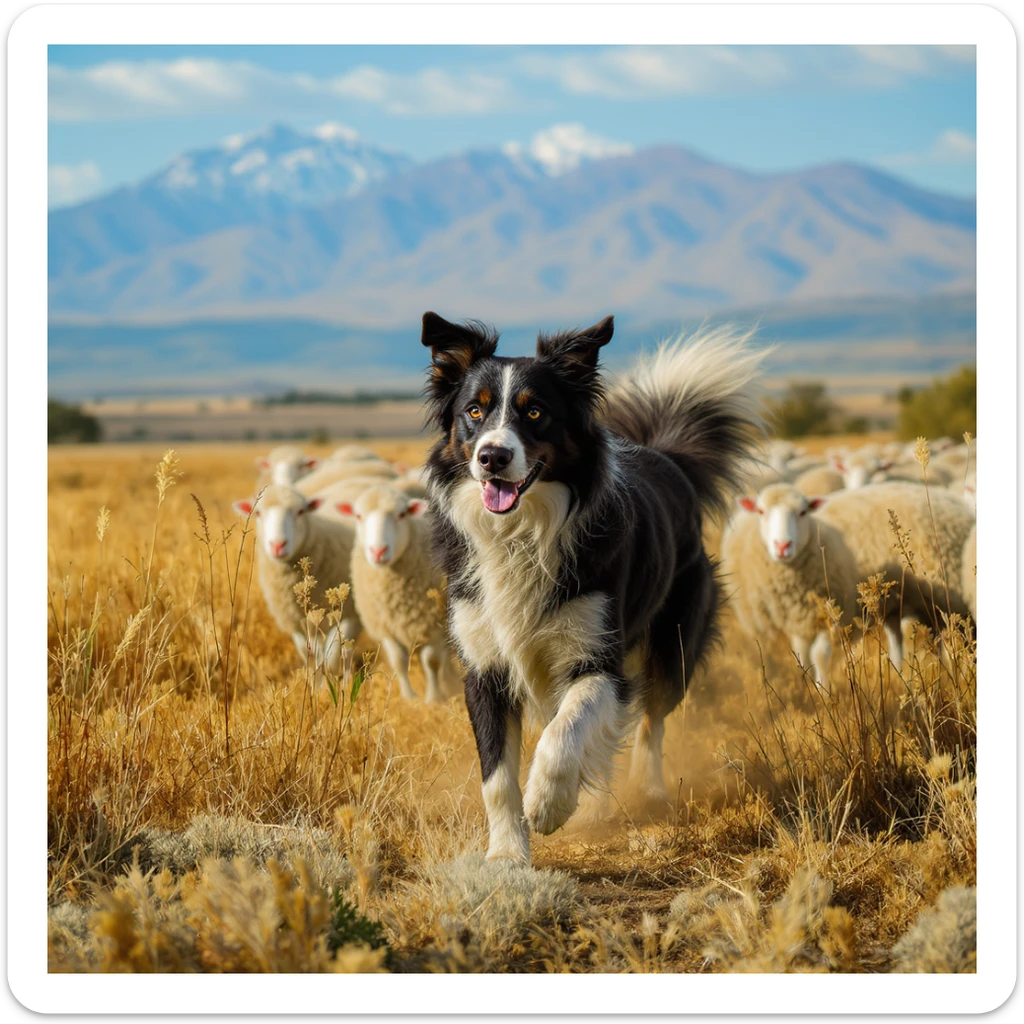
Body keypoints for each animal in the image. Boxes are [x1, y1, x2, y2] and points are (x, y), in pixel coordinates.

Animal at [232, 485, 360, 680]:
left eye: (300, 511)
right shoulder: (295, 621)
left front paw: (337, 683)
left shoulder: (350, 615)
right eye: (258, 513)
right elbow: (312, 655)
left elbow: (334, 657)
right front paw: (316, 683)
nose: (277, 545)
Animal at [336, 484, 454, 703]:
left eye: (401, 514)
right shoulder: (386, 627)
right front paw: (409, 697)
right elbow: (399, 661)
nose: (378, 551)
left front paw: (433, 698)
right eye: (358, 516)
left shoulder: (436, 623)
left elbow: (432, 660)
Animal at [721, 484, 858, 691]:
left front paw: (823, 689)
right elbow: (800, 653)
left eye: (803, 512)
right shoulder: (791, 619)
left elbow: (820, 653)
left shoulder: (828, 611)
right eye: (761, 511)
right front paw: (807, 684)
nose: (782, 546)